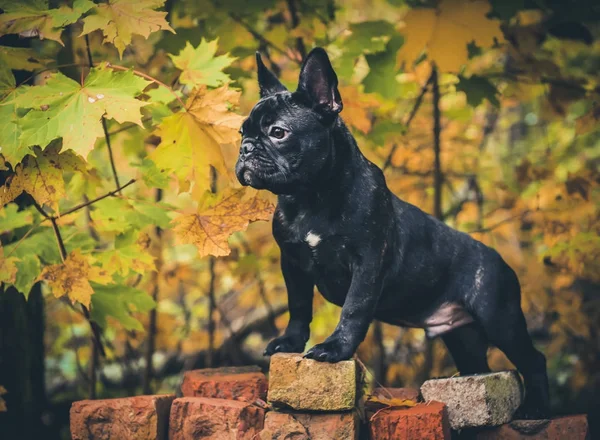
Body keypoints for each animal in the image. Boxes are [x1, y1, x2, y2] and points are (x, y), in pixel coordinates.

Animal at [234, 47, 548, 416]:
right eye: (241, 132)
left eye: (278, 132)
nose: (245, 148)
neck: (310, 196)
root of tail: (501, 261)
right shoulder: (293, 263)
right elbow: (298, 306)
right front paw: (290, 342)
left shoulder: (368, 262)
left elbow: (354, 308)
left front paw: (335, 348)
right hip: (464, 337)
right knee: (477, 364)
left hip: (499, 317)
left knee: (534, 360)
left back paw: (535, 408)